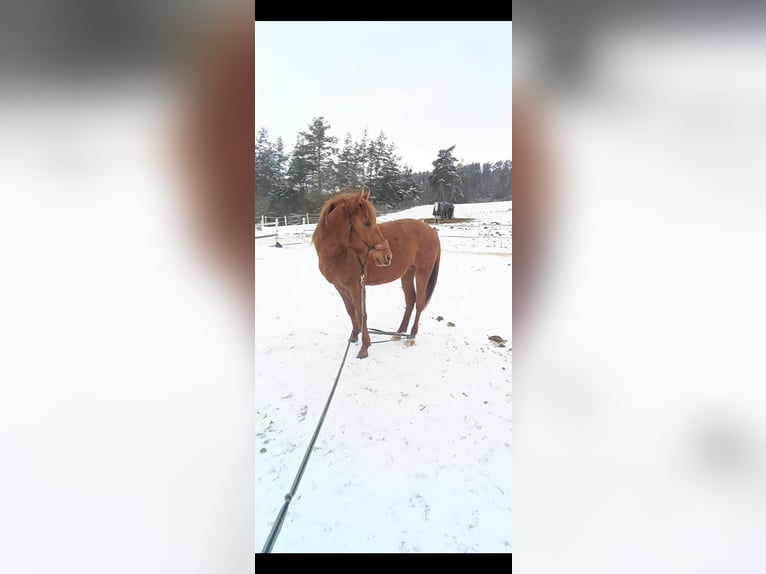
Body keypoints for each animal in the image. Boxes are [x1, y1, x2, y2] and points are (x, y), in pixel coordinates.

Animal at [312, 190, 442, 358]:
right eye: (366, 223)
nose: (387, 256)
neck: (340, 254)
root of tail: (431, 230)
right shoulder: (340, 287)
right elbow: (350, 310)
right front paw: (354, 335)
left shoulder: (357, 286)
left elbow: (362, 313)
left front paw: (364, 347)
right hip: (407, 273)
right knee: (410, 300)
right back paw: (399, 333)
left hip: (422, 273)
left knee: (419, 302)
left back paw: (412, 336)